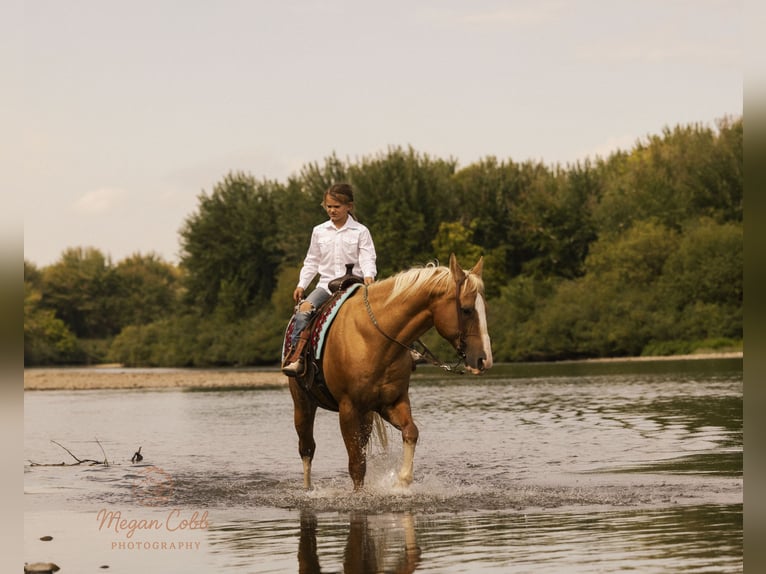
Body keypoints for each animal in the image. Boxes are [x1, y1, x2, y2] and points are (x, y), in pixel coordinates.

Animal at [287, 254, 493, 491]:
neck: (374, 338)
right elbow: (356, 466)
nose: (485, 359)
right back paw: (307, 489)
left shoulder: (391, 402)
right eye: (467, 309)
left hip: (366, 416)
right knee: (307, 449)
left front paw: (402, 481)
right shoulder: (348, 409)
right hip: (303, 404)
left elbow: (411, 432)